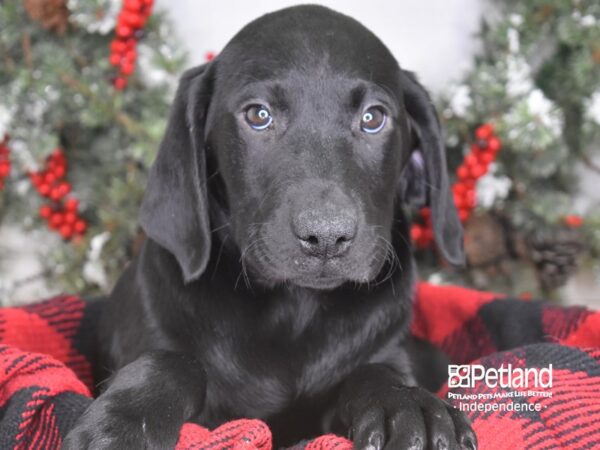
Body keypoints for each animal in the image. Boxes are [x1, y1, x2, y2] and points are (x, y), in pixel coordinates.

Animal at [63, 4, 476, 450]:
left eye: (373, 118)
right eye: (259, 115)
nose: (326, 237)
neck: (293, 311)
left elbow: (376, 370)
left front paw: (410, 405)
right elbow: (175, 361)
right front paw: (126, 420)